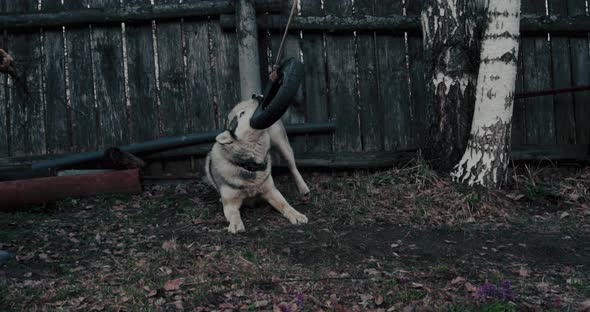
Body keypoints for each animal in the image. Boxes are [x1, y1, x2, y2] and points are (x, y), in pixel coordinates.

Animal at [206, 98, 312, 233]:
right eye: (241, 114)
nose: (257, 97)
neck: (249, 164)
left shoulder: (272, 191)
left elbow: (285, 204)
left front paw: (296, 214)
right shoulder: (230, 203)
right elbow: (234, 213)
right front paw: (235, 223)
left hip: (282, 145)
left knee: (292, 166)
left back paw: (303, 188)